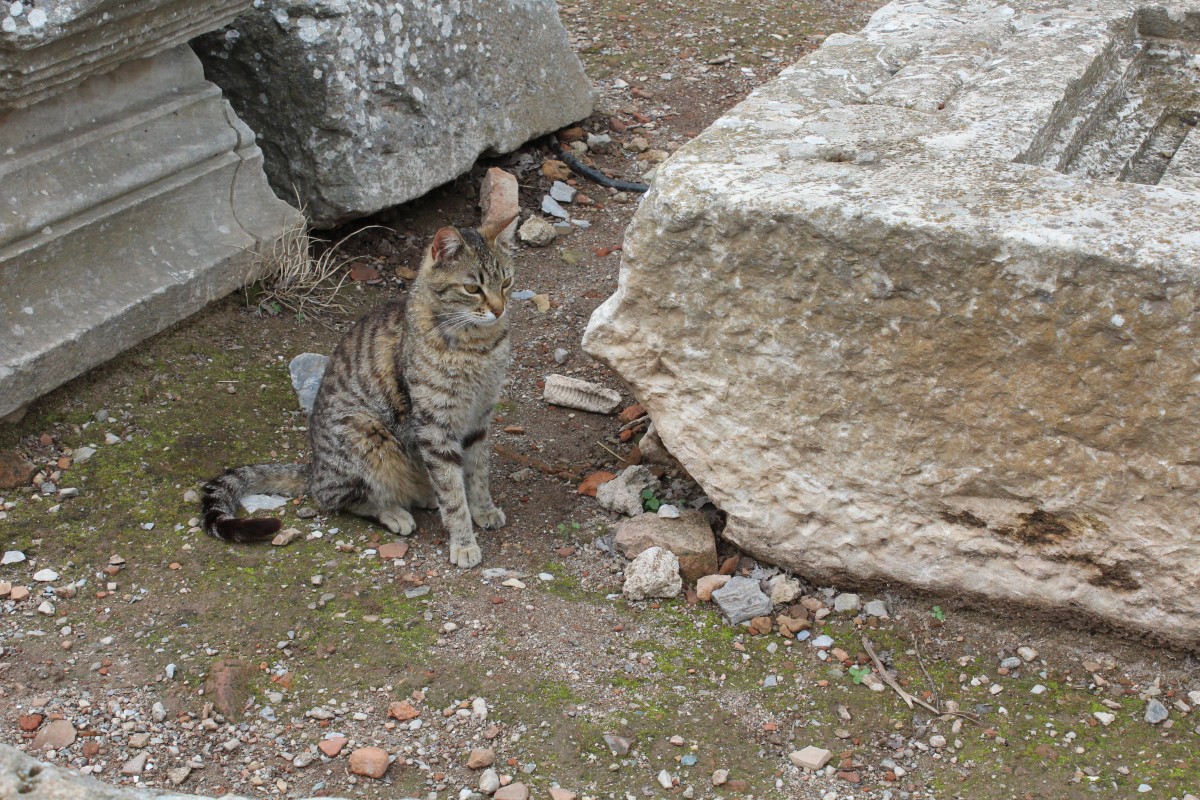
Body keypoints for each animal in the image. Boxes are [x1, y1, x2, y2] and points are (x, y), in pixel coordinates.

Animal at [200, 214, 516, 568]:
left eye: (506, 283)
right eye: (472, 288)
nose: (500, 309)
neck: (479, 346)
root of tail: (314, 467)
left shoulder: (479, 417)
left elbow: (477, 473)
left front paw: (483, 509)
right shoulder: (435, 426)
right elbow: (451, 492)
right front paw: (463, 541)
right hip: (366, 433)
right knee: (336, 498)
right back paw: (394, 511)